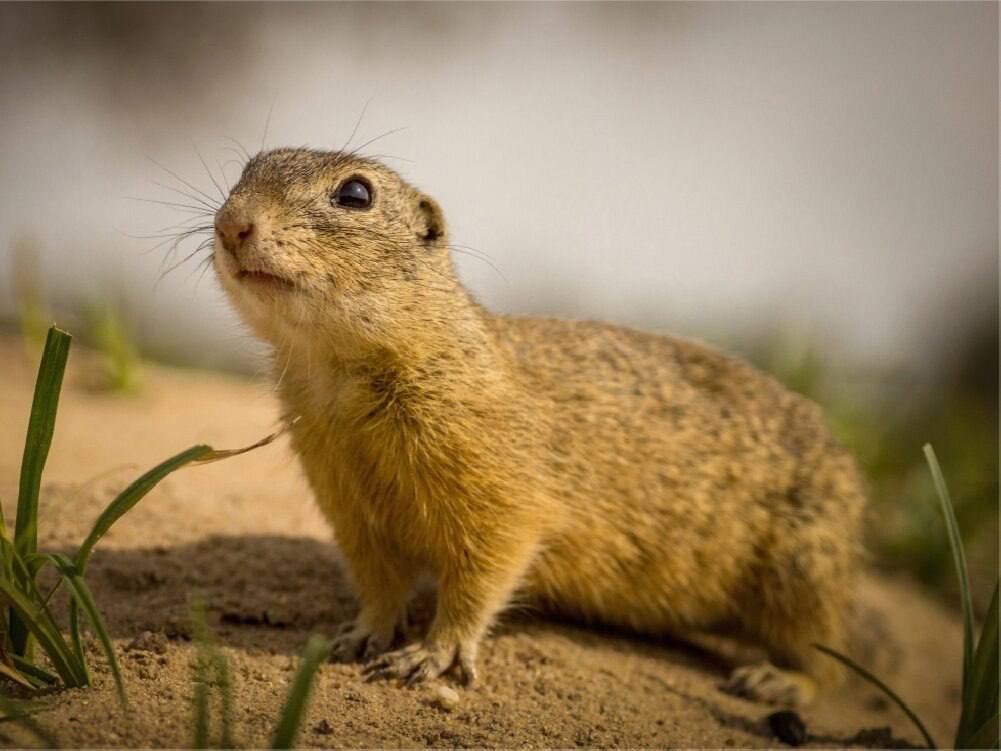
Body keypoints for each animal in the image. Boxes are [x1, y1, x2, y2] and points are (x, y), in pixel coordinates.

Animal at [213, 148, 868, 712]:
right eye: (244, 171)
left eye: (355, 193)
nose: (231, 223)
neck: (339, 377)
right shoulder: (350, 507)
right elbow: (378, 585)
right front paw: (356, 636)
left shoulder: (502, 496)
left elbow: (480, 578)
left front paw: (429, 656)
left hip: (803, 575)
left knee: (831, 661)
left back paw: (776, 681)